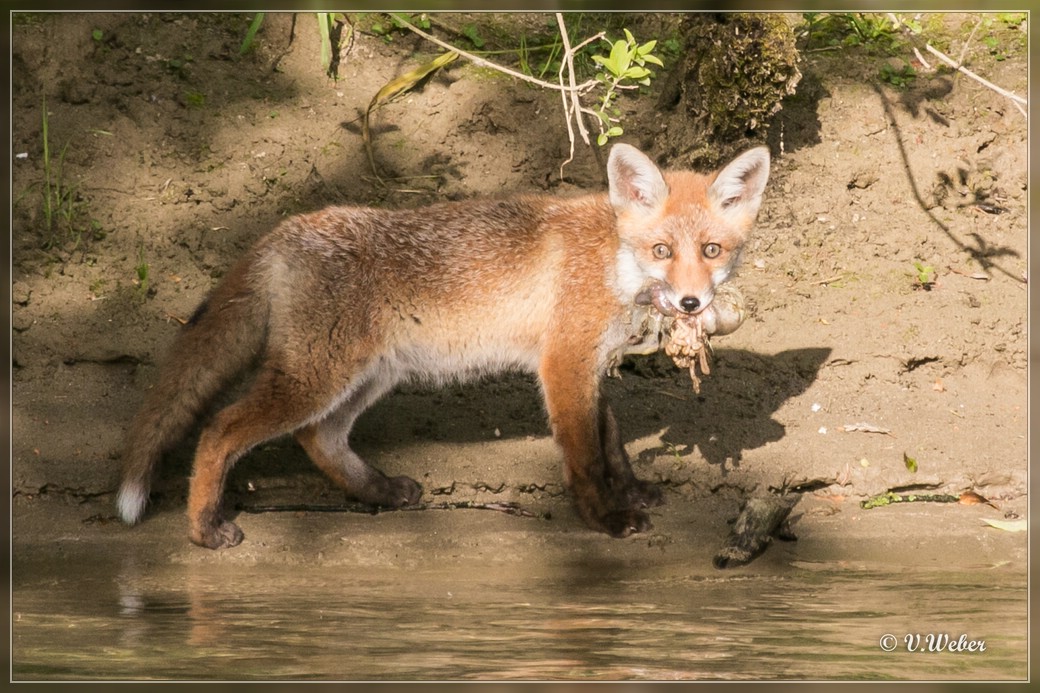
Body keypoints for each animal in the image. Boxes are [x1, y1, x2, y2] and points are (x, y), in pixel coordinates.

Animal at [118, 144, 769, 545]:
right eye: (663, 250)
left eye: (711, 250)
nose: (691, 303)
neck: (613, 262)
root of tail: (286, 230)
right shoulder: (563, 363)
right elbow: (585, 455)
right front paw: (606, 518)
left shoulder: (589, 364)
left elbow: (611, 440)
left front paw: (630, 491)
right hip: (317, 378)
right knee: (220, 429)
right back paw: (204, 528)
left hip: (368, 377)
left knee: (318, 436)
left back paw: (378, 491)